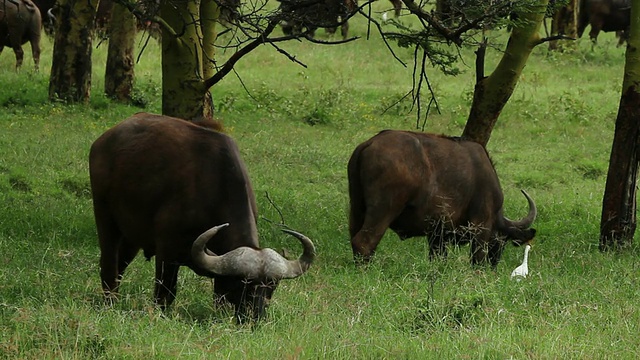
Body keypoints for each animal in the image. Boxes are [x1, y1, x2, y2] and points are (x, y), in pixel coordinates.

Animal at [91, 112, 316, 320]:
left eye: (272, 286)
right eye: (243, 284)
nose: (255, 317)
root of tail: (103, 141)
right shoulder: (166, 253)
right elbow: (165, 294)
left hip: (132, 235)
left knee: (121, 263)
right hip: (105, 218)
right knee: (109, 263)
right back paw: (110, 301)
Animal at [348, 131, 536, 266]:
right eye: (502, 240)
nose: (494, 263)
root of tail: (369, 144)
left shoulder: (437, 234)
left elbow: (438, 258)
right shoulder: (481, 226)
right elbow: (477, 260)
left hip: (356, 209)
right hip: (383, 211)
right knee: (364, 243)